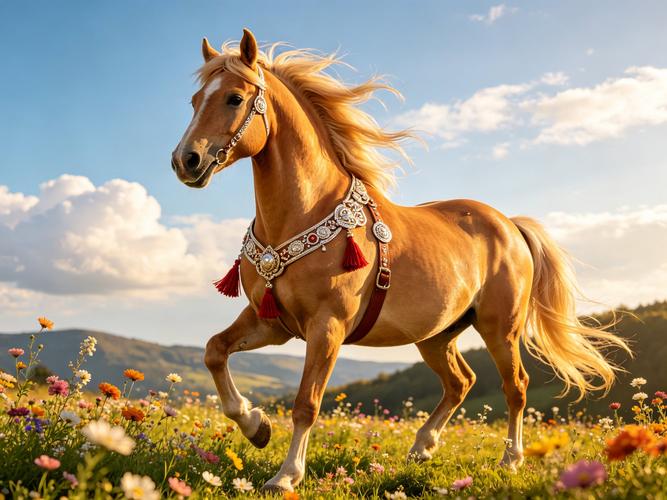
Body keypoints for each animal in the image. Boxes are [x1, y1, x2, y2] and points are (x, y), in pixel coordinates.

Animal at [171, 29, 631, 493]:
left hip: (500, 327)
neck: (300, 216)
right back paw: (422, 447)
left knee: (514, 385)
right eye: (193, 101)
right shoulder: (272, 321)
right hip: (437, 335)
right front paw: (256, 425)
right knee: (461, 382)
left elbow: (306, 403)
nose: (185, 161)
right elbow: (214, 351)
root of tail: (510, 225)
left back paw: (510, 460)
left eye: (233, 98)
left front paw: (285, 476)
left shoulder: (327, 326)